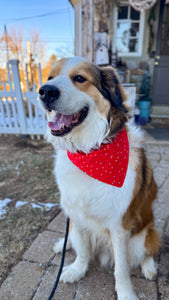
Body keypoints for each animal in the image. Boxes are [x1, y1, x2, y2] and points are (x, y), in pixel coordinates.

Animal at [39, 56, 160, 300]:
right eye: (50, 77)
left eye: (79, 78)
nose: (45, 91)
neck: (89, 152)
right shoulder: (76, 213)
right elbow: (83, 249)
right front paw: (77, 269)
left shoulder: (119, 225)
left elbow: (121, 267)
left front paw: (125, 293)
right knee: (74, 238)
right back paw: (63, 244)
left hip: (144, 234)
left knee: (147, 251)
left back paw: (150, 268)